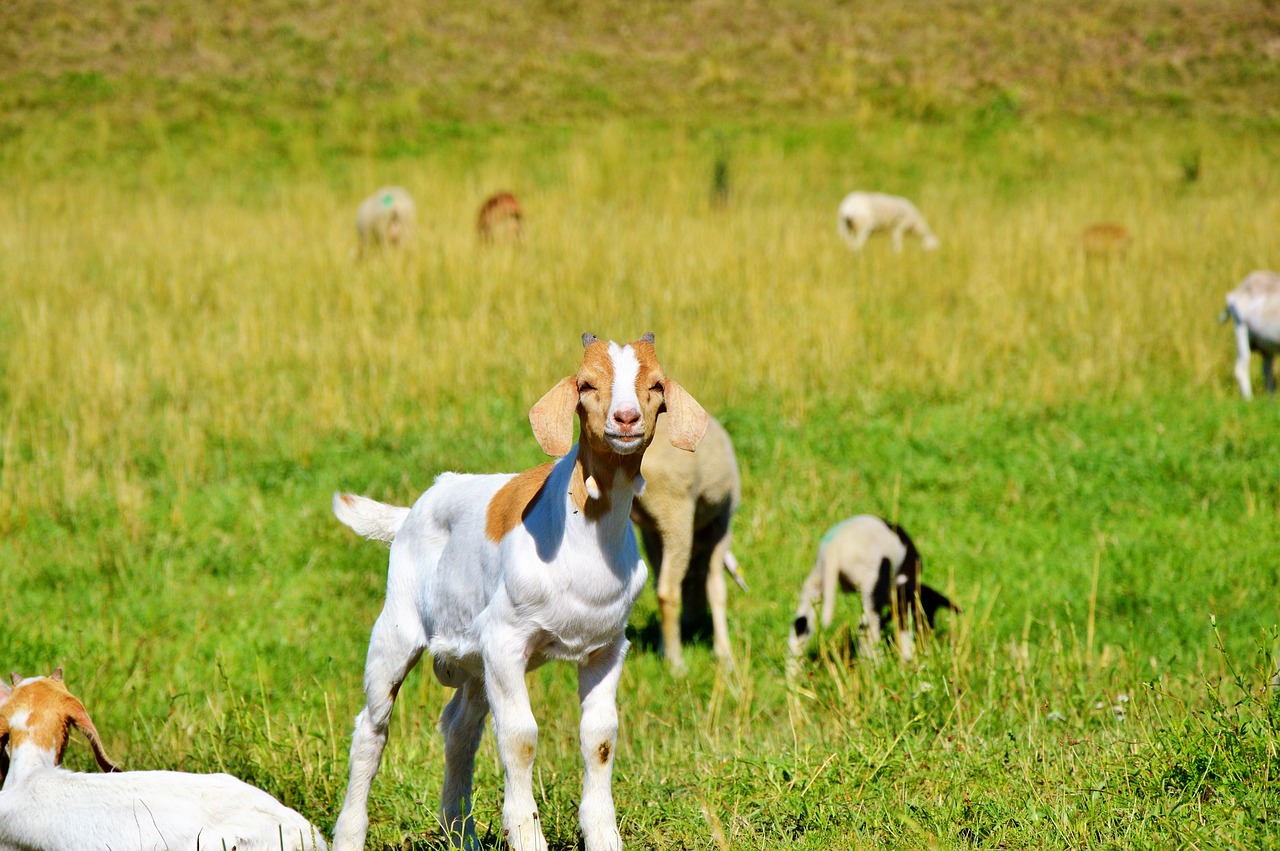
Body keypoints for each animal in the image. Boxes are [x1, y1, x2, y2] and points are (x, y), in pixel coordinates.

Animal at [783, 511, 957, 665]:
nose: (927, 637)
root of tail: (834, 548)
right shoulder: (901, 594)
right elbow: (903, 626)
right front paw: (908, 659)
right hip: (870, 582)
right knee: (866, 627)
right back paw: (877, 667)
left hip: (815, 582)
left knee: (800, 627)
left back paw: (792, 678)